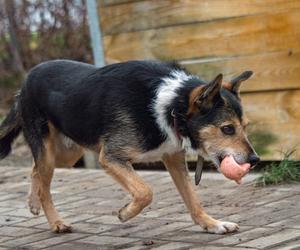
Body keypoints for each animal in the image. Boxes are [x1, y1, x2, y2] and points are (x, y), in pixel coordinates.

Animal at [0, 60, 258, 234]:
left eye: (245, 126)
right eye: (227, 129)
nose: (255, 160)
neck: (171, 107)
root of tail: (26, 80)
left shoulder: (173, 158)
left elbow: (193, 199)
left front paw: (212, 224)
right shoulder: (110, 157)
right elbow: (145, 192)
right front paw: (125, 213)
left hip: (66, 153)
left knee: (35, 170)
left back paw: (33, 203)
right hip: (51, 151)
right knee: (44, 184)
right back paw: (56, 222)